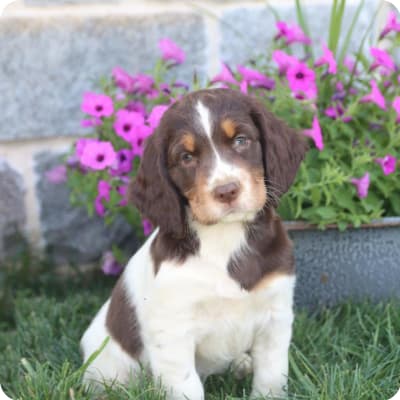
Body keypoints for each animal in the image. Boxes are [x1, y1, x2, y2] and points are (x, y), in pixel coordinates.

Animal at [80, 89, 306, 398]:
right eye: (186, 157)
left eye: (241, 140)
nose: (227, 191)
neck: (223, 239)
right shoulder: (172, 331)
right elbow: (187, 385)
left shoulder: (276, 314)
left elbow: (271, 375)